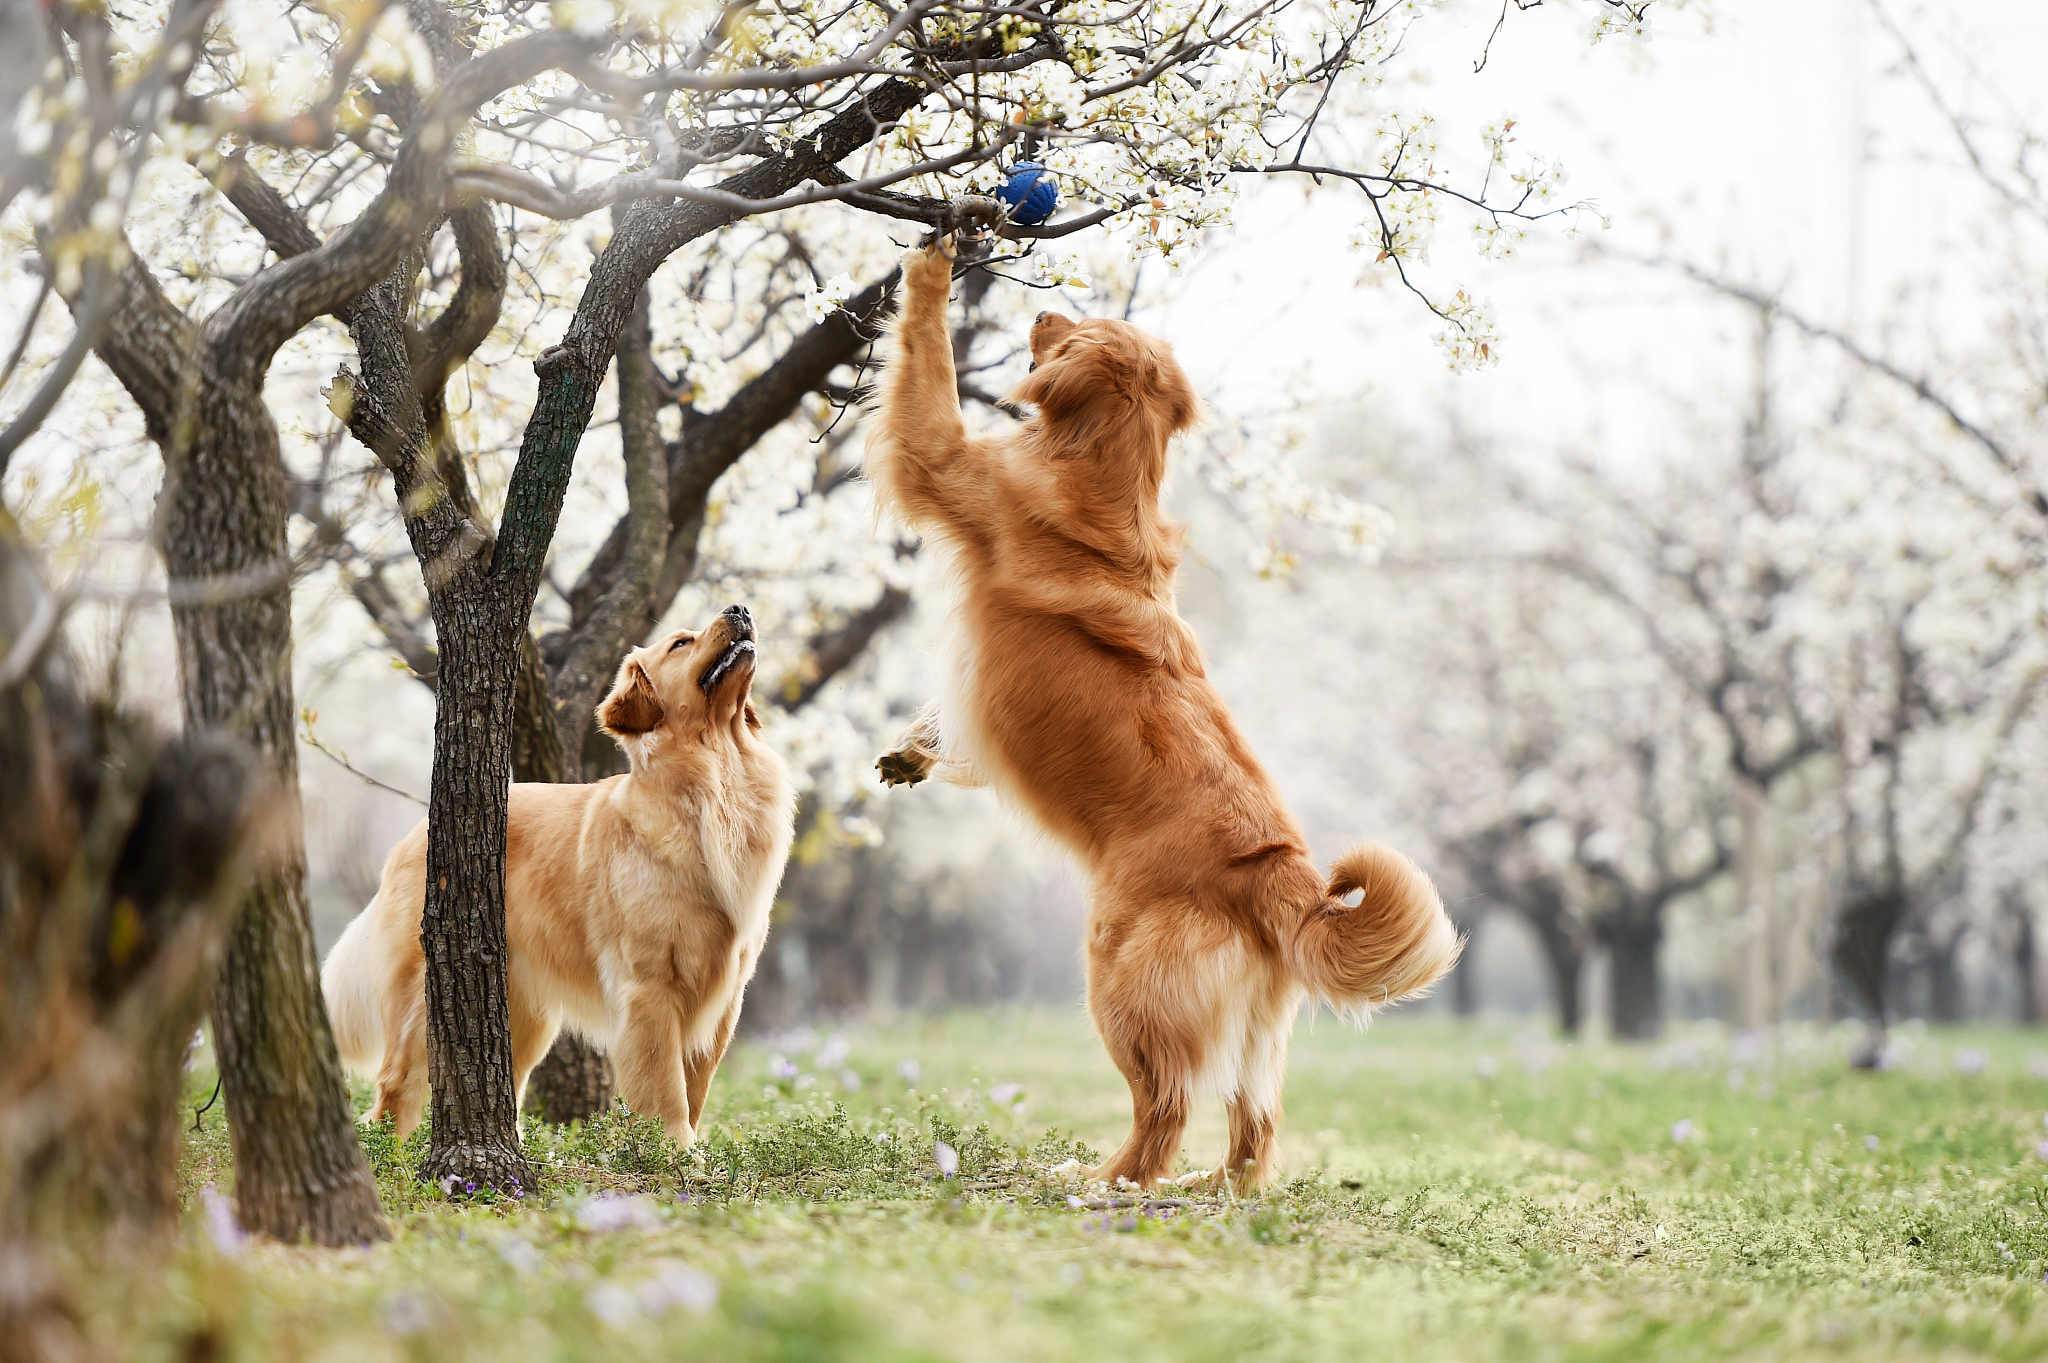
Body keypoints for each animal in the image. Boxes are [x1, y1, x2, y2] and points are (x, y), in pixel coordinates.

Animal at [323, 601, 794, 1137]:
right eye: (681, 642)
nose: (739, 608)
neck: (716, 777)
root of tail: (414, 834)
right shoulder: (650, 990)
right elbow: (668, 1092)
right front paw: (676, 1150)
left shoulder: (724, 996)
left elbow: (695, 1093)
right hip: (425, 996)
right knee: (394, 1091)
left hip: (521, 1018)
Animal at [864, 244, 1458, 1186]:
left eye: (1080, 326)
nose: (1042, 313)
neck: (1102, 473)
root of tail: (1284, 878)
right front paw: (911, 752)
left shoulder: (949, 459)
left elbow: (926, 357)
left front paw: (936, 257)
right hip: (1254, 1027)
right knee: (1254, 1123)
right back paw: (1215, 1184)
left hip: (1120, 976)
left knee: (1167, 1103)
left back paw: (1108, 1180)